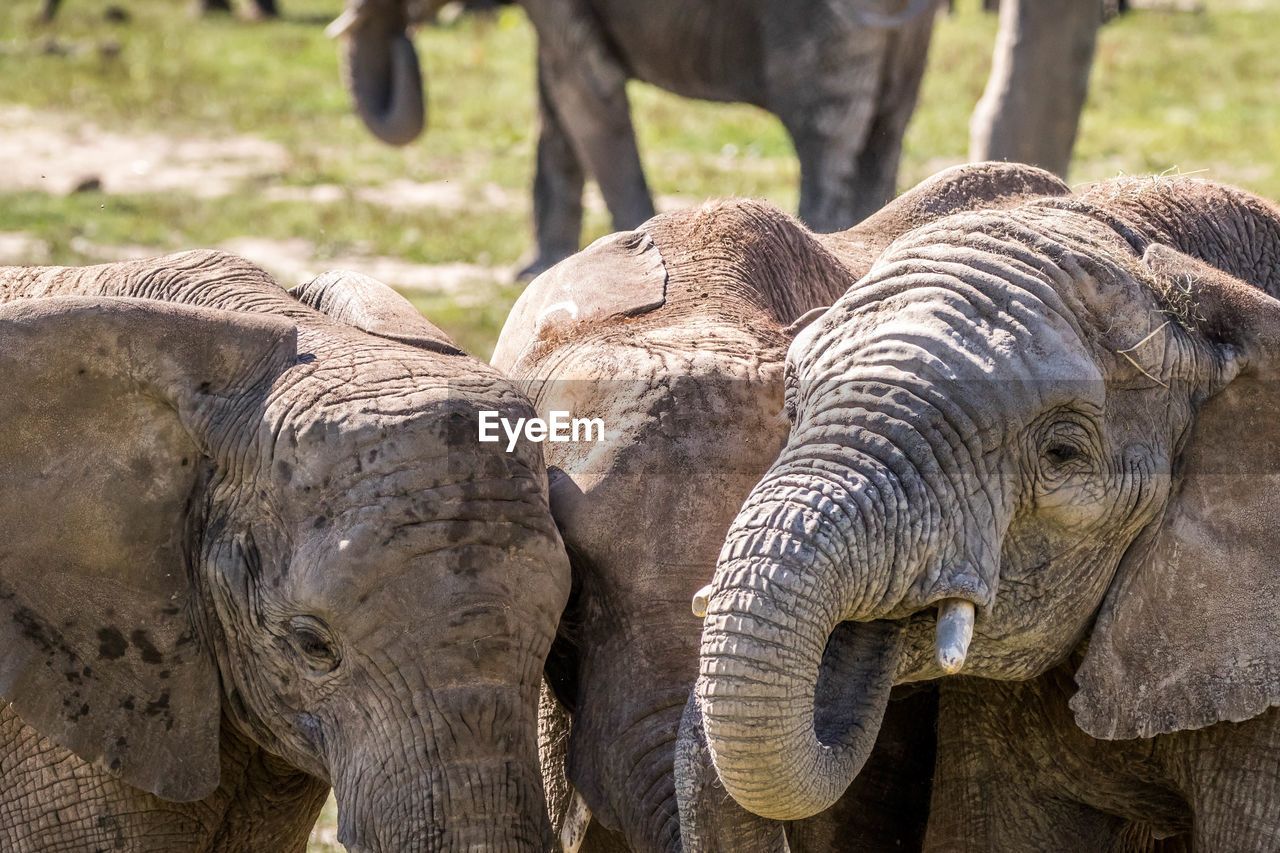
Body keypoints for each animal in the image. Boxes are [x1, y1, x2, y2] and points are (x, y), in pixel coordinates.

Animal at [327, 0, 942, 275]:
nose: (407, 35)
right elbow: (558, 98)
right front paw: (537, 270)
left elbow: (583, 92)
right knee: (886, 129)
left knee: (824, 136)